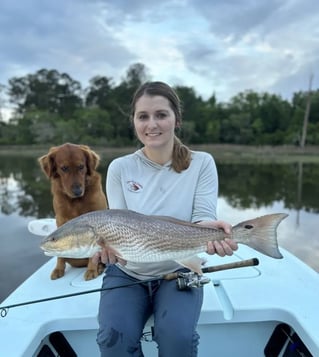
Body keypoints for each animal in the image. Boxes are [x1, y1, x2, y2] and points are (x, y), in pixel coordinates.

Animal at [38, 143, 108, 280]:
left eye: (81, 166)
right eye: (64, 168)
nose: (77, 191)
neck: (76, 201)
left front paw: (92, 270)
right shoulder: (60, 219)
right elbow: (60, 254)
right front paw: (58, 269)